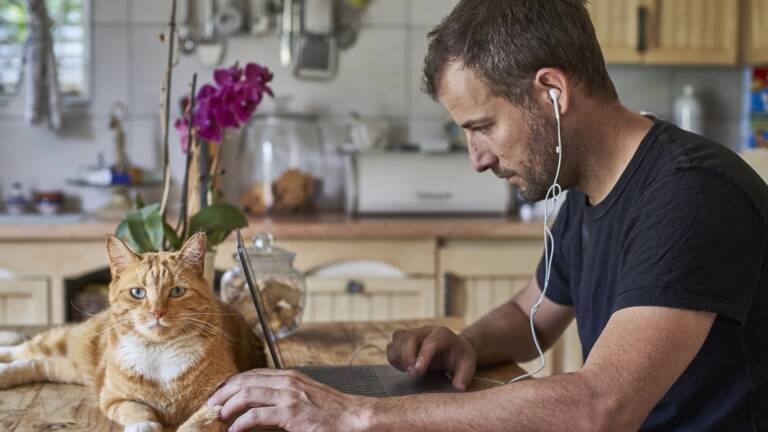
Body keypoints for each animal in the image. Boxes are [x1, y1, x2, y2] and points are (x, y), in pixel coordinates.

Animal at [0, 235, 268, 430]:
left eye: (177, 291)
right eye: (138, 293)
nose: (157, 312)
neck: (160, 353)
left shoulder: (222, 401)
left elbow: (198, 423)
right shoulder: (114, 398)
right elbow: (137, 410)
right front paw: (145, 425)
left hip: (70, 368)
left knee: (37, 363)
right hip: (66, 345)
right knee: (26, 349)